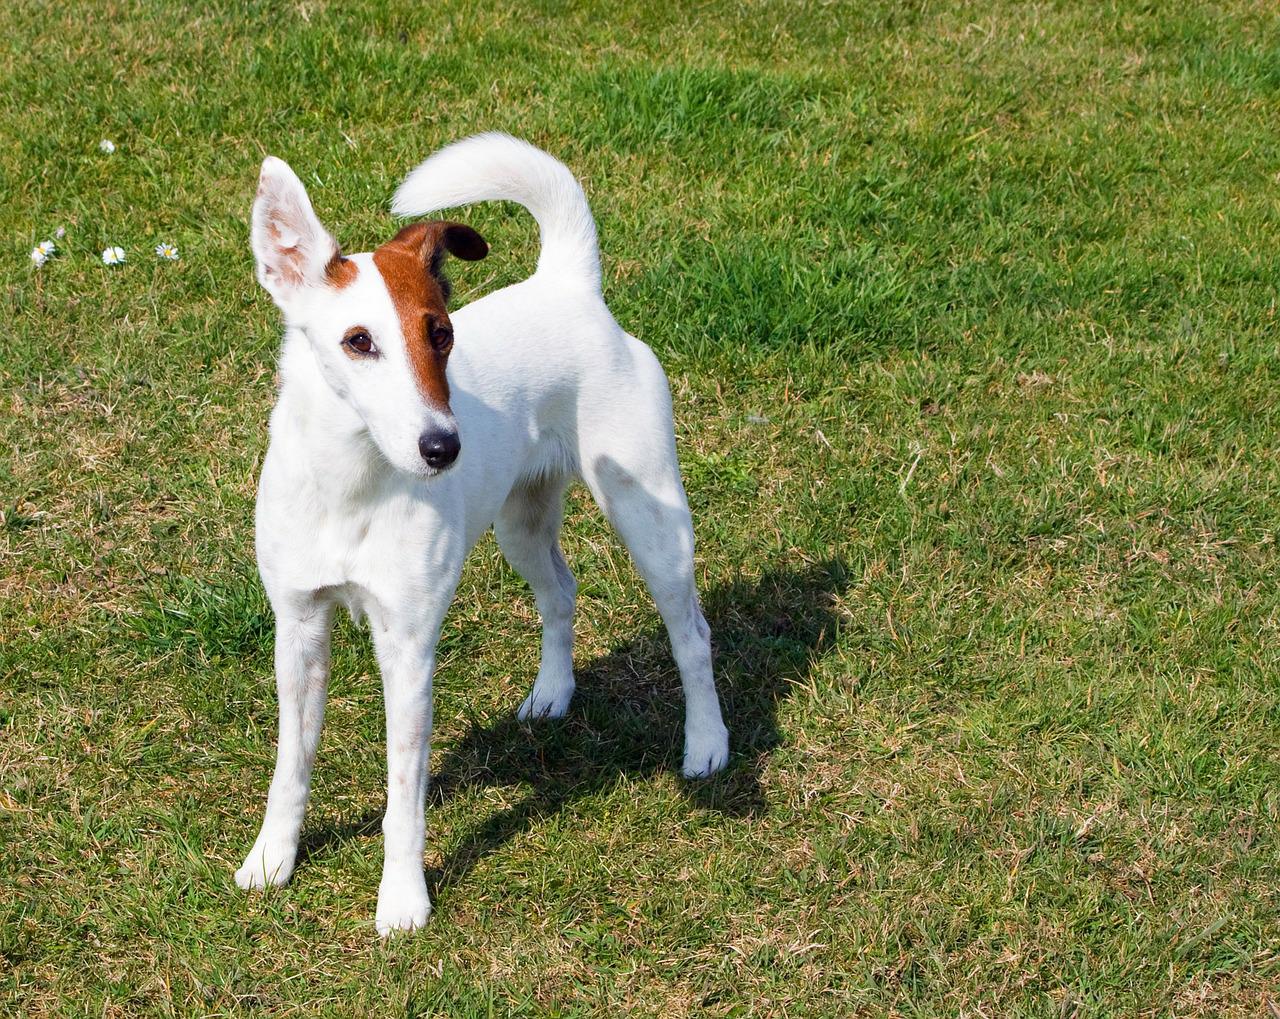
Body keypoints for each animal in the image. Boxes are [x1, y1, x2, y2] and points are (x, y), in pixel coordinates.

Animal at [234, 133, 727, 931]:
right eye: (358, 341)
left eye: (442, 334)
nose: (444, 447)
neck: (352, 482)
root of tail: (568, 285)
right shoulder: (299, 628)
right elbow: (291, 766)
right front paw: (272, 859)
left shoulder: (407, 647)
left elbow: (403, 801)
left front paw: (403, 899)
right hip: (519, 526)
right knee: (561, 591)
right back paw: (553, 692)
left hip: (651, 520)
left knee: (692, 635)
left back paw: (708, 744)